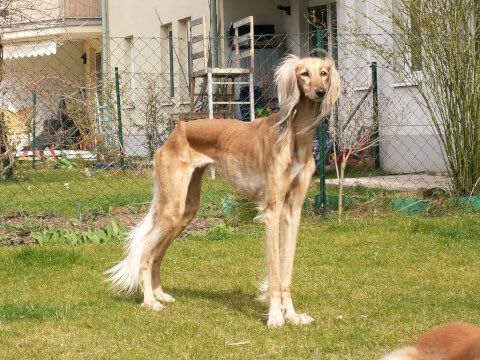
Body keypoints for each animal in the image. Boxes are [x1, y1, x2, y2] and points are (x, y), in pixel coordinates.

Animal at [108, 54, 342, 328]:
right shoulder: (272, 210)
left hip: (185, 212)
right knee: (146, 255)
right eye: (304, 73)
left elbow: (286, 272)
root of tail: (177, 131)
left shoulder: (293, 211)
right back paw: (149, 301)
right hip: (172, 208)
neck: (294, 136)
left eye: (324, 73)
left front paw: (292, 315)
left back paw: (159, 294)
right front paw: (275, 316)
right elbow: (275, 273)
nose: (320, 92)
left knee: (157, 255)